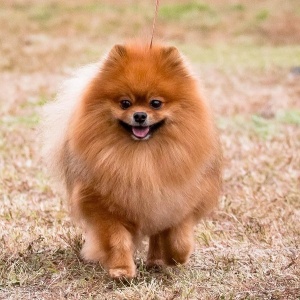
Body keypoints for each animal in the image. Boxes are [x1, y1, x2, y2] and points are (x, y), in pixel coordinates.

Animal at [43, 41, 223, 278]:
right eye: (125, 103)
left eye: (155, 103)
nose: (139, 115)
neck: (141, 158)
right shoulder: (103, 206)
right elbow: (117, 240)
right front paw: (121, 270)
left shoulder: (179, 199)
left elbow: (179, 237)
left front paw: (176, 257)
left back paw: (158, 261)